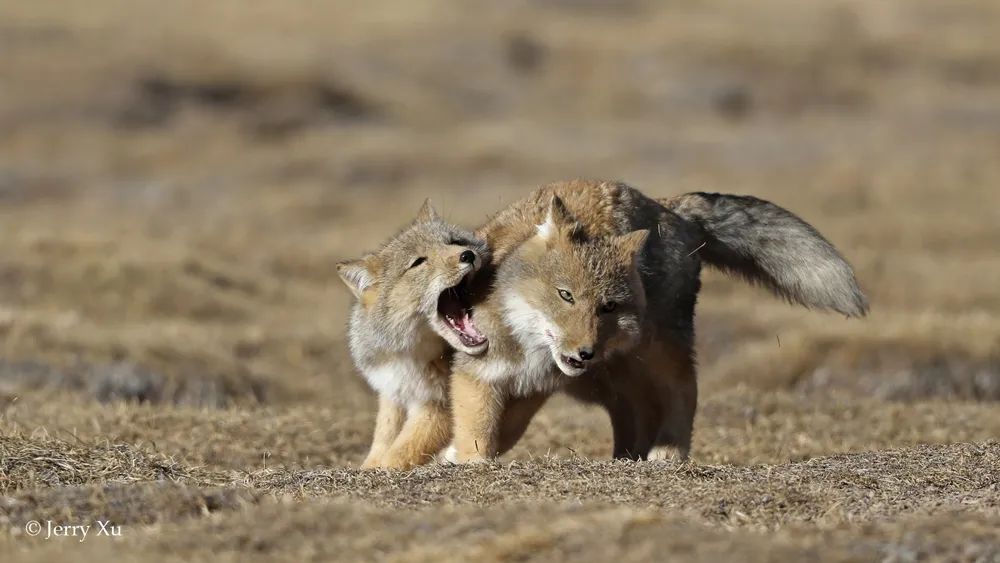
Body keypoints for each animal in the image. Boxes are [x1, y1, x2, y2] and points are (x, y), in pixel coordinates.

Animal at [336, 200, 492, 470]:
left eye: (453, 241)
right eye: (419, 262)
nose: (467, 255)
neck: (407, 356)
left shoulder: (438, 406)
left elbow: (400, 452)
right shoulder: (393, 392)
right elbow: (383, 438)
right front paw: (368, 468)